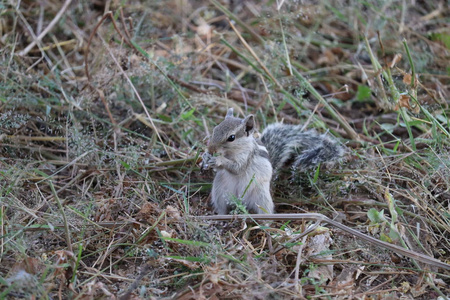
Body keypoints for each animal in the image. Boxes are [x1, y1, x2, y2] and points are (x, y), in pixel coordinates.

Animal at [200, 109, 344, 214]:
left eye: (231, 137)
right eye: (215, 129)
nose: (211, 149)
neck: (232, 153)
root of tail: (241, 200)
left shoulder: (246, 157)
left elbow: (237, 168)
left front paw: (218, 159)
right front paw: (205, 157)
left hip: (262, 197)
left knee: (266, 211)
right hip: (219, 193)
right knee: (222, 208)